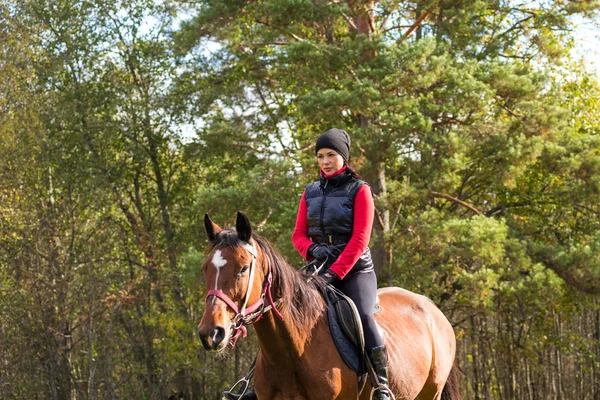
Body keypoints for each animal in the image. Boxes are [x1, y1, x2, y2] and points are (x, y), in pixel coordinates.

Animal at [197, 212, 460, 400]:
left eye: (243, 268)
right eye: (205, 268)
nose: (211, 333)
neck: (293, 351)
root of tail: (430, 307)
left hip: (431, 393)